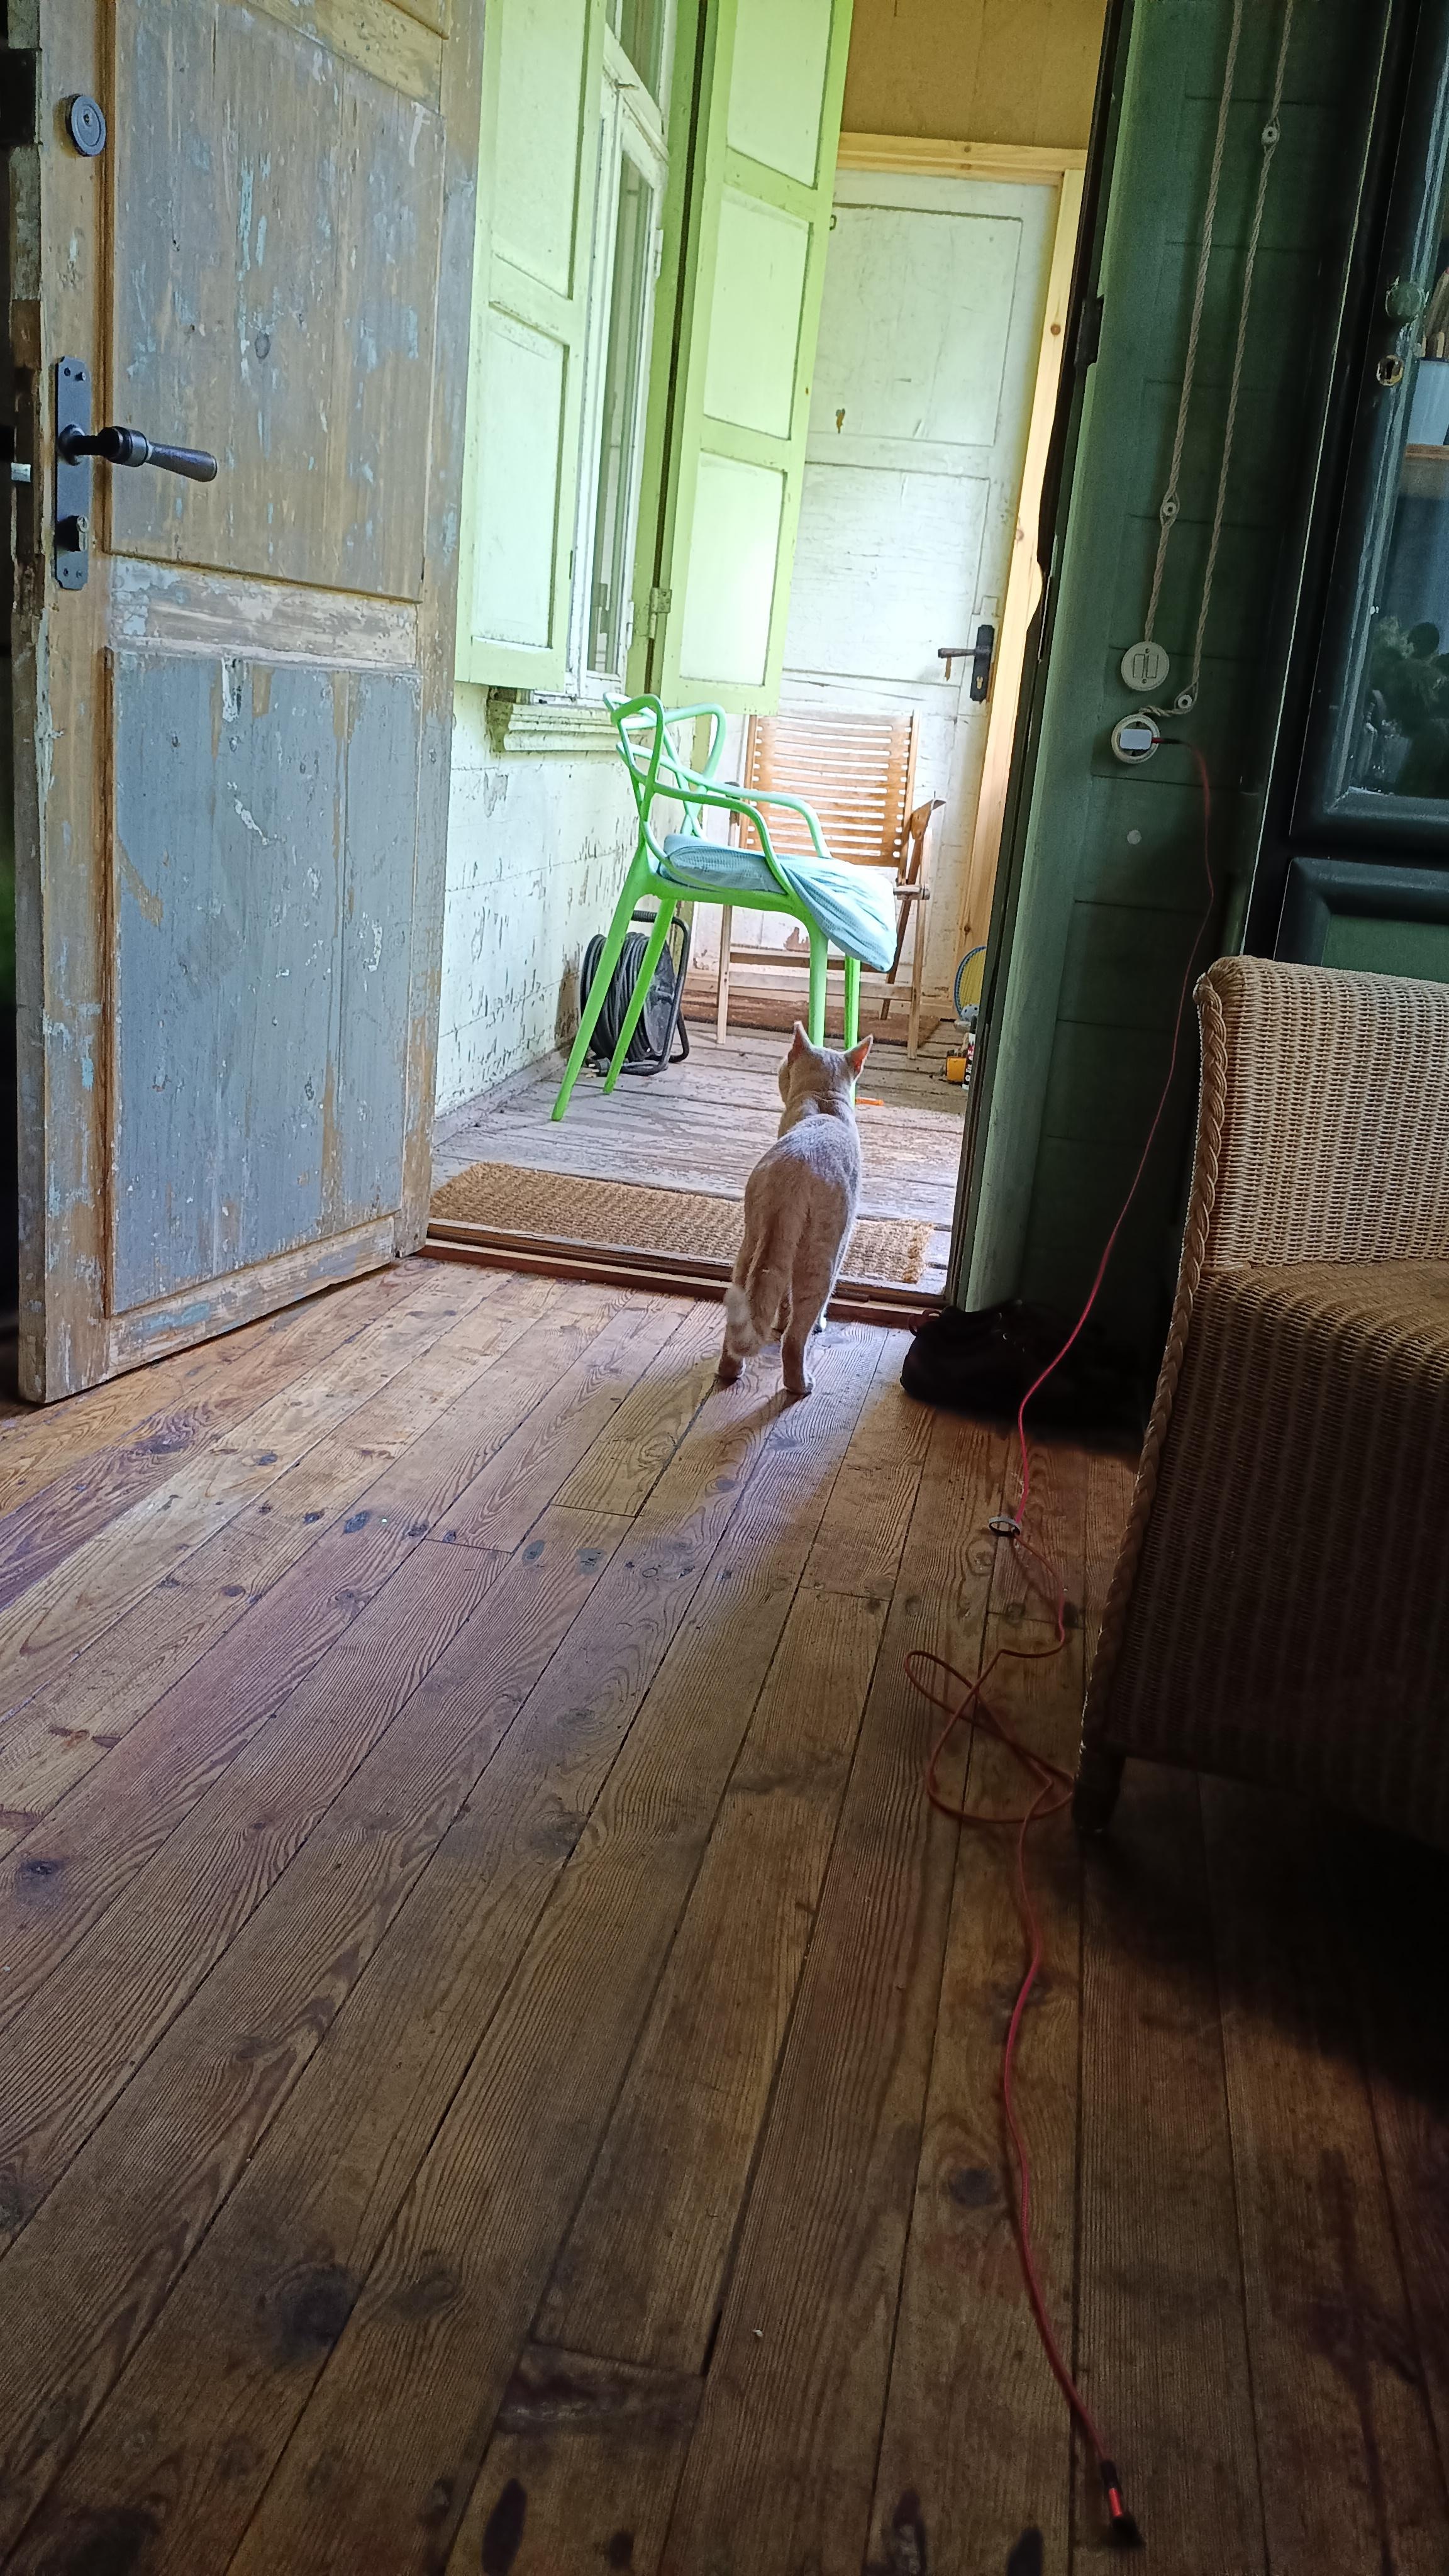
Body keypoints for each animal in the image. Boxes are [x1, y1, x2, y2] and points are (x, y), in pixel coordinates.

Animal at [719, 1022, 873, 1399]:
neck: (824, 1103)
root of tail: (792, 1171)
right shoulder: (842, 1242)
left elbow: (781, 1303)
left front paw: (777, 1319)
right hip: (821, 1259)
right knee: (794, 1339)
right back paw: (800, 1384)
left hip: (750, 1249)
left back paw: (730, 1369)